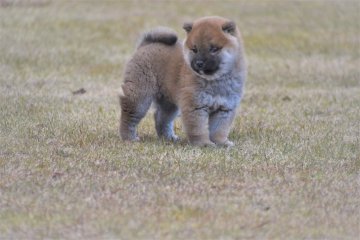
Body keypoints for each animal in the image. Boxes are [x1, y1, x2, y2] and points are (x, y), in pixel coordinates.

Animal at [119, 15, 246, 146]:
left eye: (214, 49)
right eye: (195, 49)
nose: (199, 63)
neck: (215, 80)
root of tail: (145, 45)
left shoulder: (225, 108)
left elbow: (219, 130)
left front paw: (221, 143)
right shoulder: (195, 106)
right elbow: (199, 129)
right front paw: (204, 144)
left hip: (168, 103)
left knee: (161, 118)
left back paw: (168, 138)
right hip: (139, 97)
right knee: (129, 117)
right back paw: (129, 138)